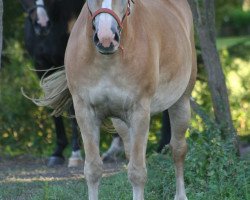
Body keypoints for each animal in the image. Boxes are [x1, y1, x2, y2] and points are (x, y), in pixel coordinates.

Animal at [65, 0, 197, 198]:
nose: (106, 38)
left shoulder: (139, 112)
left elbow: (137, 173)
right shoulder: (84, 111)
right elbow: (93, 170)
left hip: (181, 102)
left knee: (178, 149)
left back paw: (181, 196)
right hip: (120, 121)